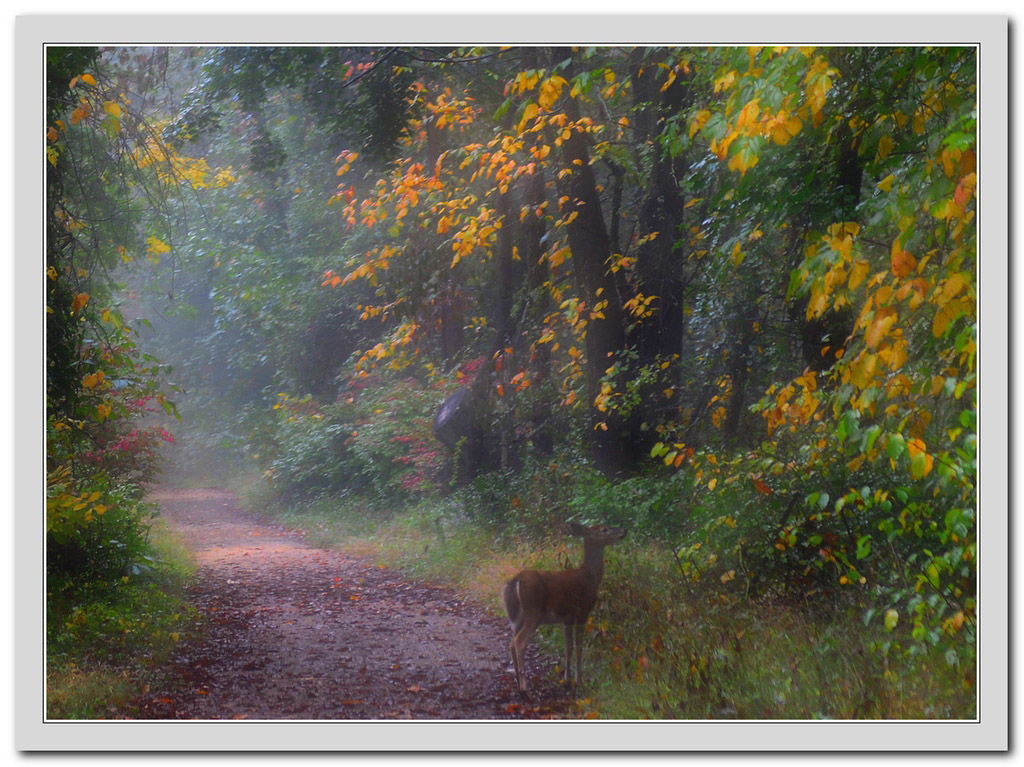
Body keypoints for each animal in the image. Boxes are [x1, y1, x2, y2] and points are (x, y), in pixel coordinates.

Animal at [501, 520, 626, 692]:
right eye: (604, 529)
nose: (624, 531)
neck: (590, 578)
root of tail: (516, 580)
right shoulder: (582, 611)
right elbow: (579, 646)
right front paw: (578, 681)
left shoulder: (567, 618)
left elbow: (568, 646)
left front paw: (567, 679)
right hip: (534, 611)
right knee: (519, 641)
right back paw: (525, 688)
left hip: (516, 616)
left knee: (512, 642)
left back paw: (518, 683)